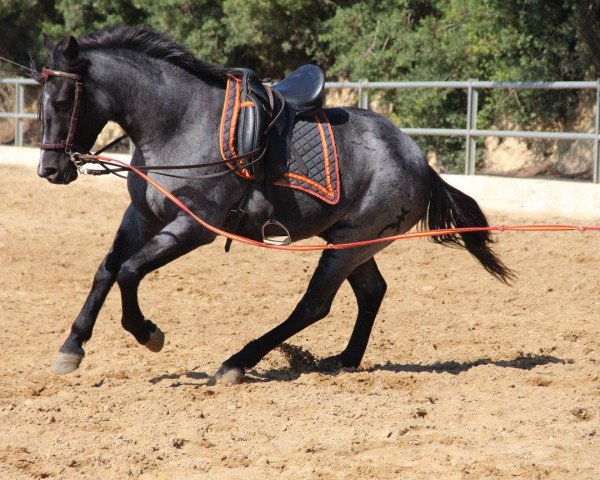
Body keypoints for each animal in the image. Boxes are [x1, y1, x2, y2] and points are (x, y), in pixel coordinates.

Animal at [36, 26, 510, 386]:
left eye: (62, 102)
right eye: (41, 102)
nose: (50, 170)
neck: (179, 123)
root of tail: (419, 161)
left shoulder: (193, 228)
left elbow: (131, 271)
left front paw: (148, 333)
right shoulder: (143, 216)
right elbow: (108, 269)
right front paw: (72, 347)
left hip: (351, 245)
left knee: (314, 305)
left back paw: (237, 363)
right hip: (350, 242)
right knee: (371, 292)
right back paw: (345, 360)